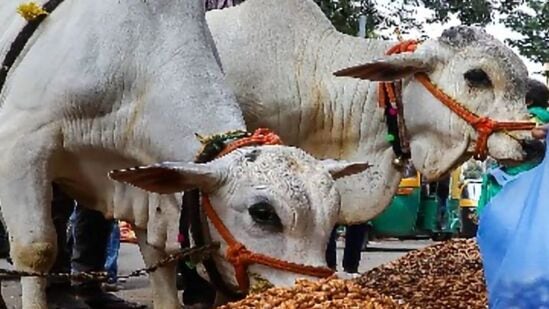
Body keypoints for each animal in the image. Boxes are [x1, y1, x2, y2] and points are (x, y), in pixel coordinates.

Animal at [1, 1, 368, 306]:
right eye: (262, 213)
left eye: (333, 217)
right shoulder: (21, 144)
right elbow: (36, 250)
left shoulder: (143, 191)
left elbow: (159, 261)